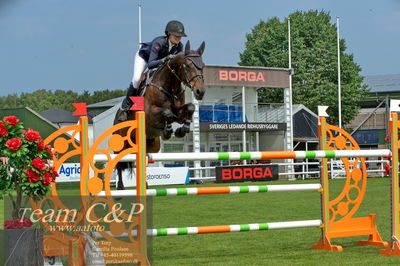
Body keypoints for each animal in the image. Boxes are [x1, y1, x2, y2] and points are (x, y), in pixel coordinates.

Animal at [112, 40, 206, 189]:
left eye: (203, 66)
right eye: (188, 66)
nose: (200, 92)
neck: (169, 86)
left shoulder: (179, 112)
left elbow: (189, 108)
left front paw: (181, 130)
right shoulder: (150, 115)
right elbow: (167, 113)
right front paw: (167, 131)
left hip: (150, 145)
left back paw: (144, 184)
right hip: (121, 143)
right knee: (119, 162)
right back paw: (120, 186)